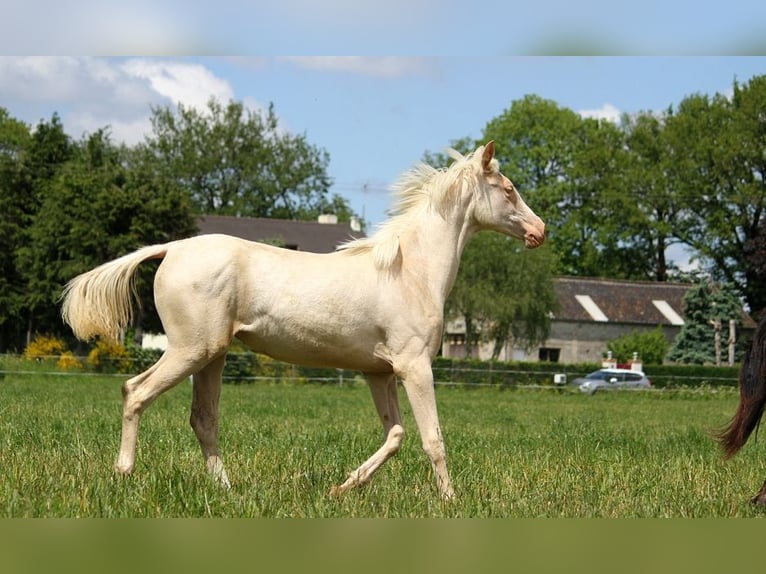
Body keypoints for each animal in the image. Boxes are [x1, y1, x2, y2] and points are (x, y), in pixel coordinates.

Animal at [64, 142, 544, 502]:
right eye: (509, 189)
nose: (539, 232)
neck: (411, 271)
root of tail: (173, 248)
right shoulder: (415, 367)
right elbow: (432, 438)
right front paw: (450, 500)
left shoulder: (379, 373)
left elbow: (395, 435)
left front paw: (343, 487)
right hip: (190, 350)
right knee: (135, 392)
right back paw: (124, 472)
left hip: (212, 356)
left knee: (203, 419)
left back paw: (226, 489)